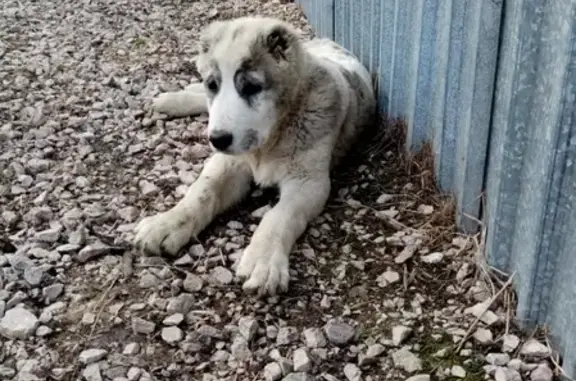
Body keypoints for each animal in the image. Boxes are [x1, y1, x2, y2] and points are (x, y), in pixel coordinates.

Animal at [133, 16, 376, 296]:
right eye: (213, 85)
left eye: (251, 87)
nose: (217, 139)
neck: (270, 140)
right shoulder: (229, 162)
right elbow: (201, 192)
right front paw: (167, 223)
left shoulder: (308, 182)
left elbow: (278, 216)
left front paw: (264, 260)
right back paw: (170, 99)